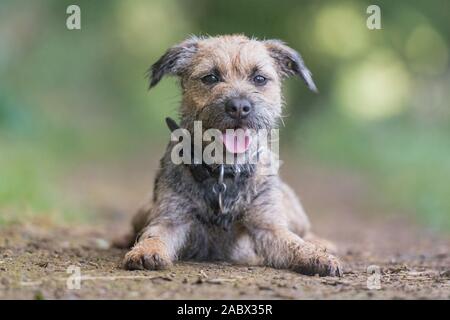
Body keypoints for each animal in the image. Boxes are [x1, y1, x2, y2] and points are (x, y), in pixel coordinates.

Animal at [118, 33, 342, 276]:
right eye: (210, 77)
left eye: (259, 78)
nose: (239, 106)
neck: (224, 170)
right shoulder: (171, 218)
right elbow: (153, 235)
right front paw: (145, 251)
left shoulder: (268, 226)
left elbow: (294, 243)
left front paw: (318, 256)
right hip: (144, 209)